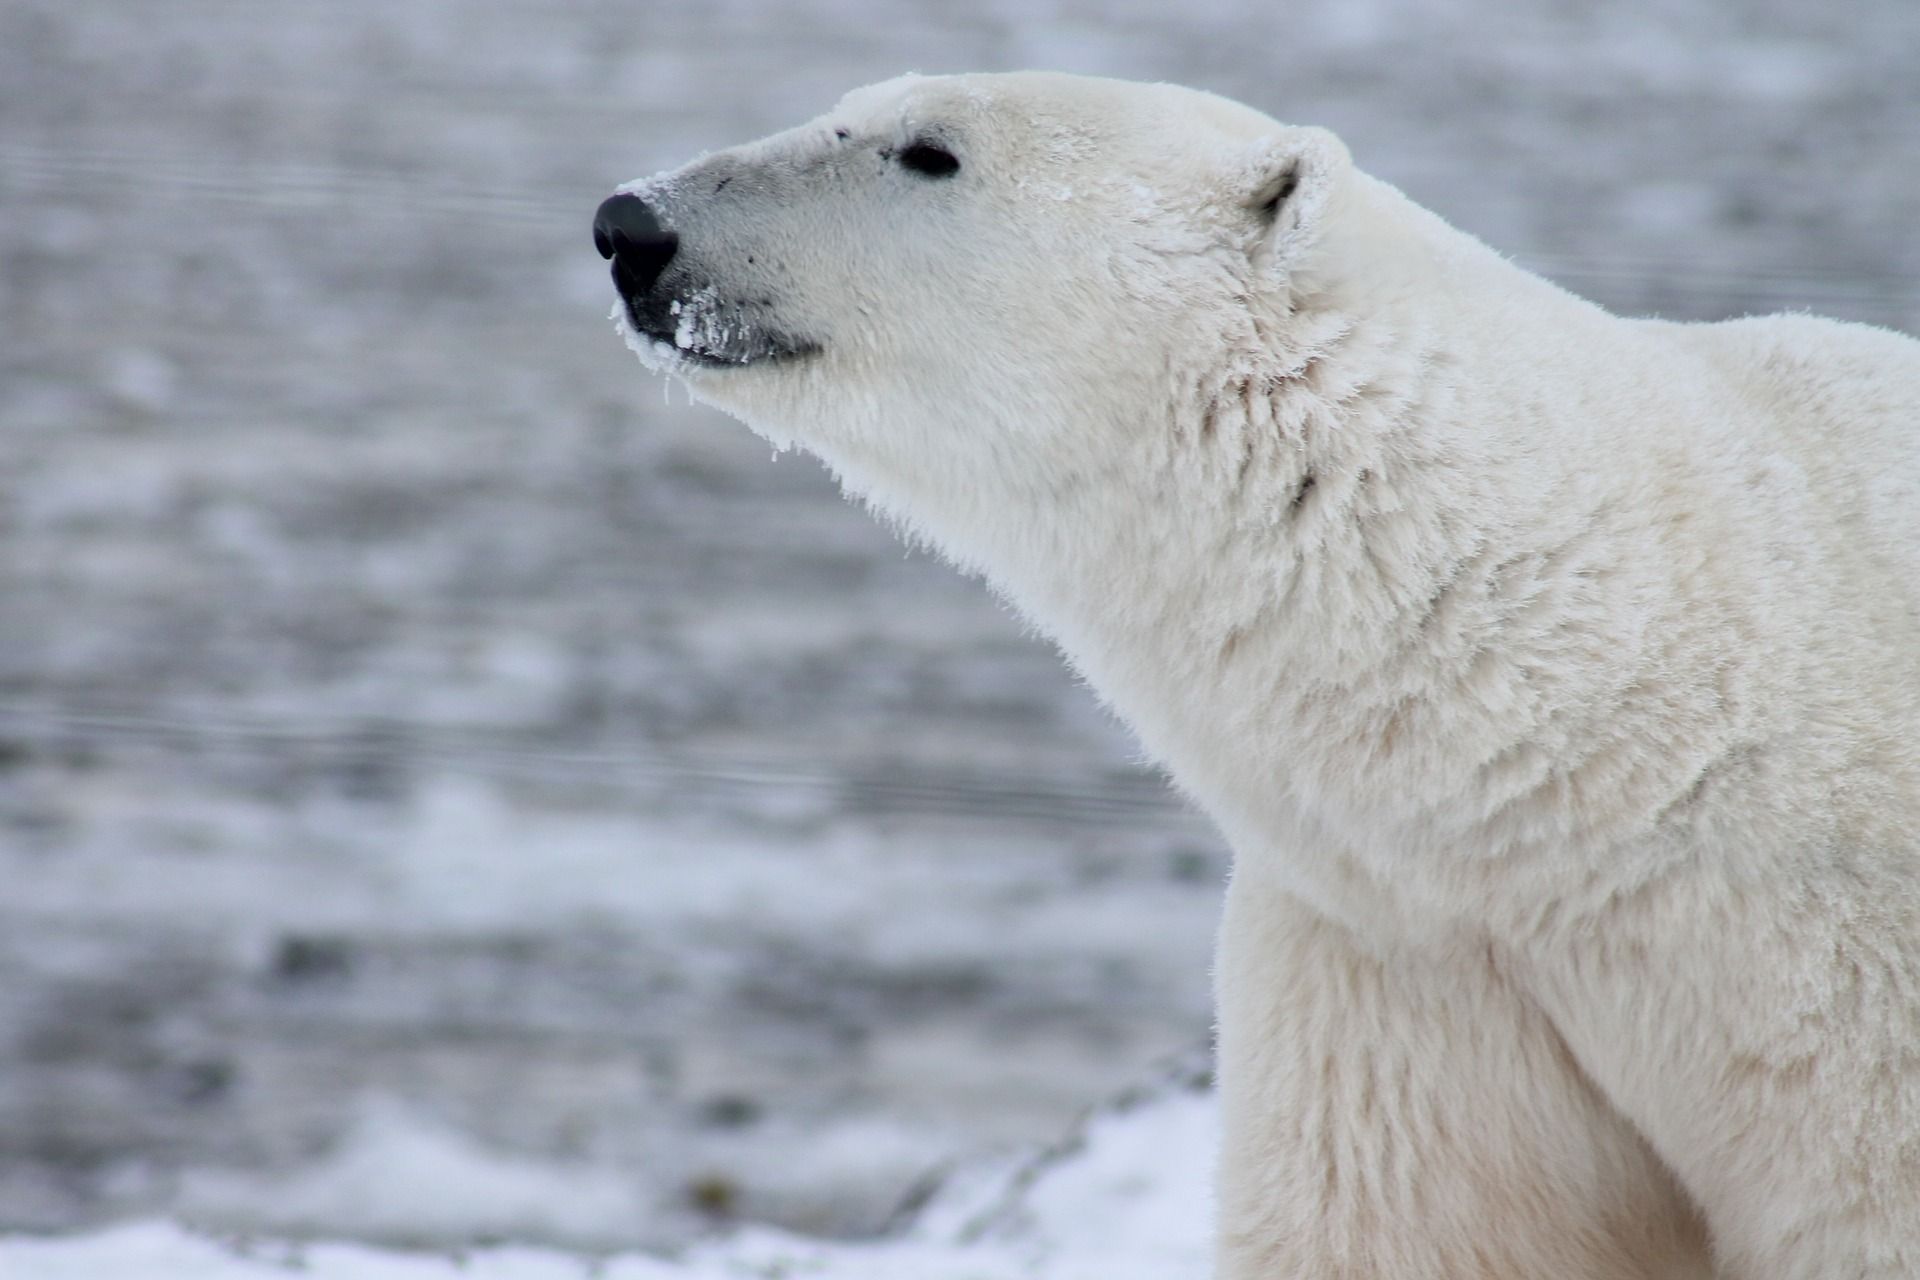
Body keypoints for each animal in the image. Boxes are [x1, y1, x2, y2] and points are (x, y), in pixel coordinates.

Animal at [591, 72, 1912, 1280]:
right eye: (848, 105)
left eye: (928, 151)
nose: (629, 225)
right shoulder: (1413, 965)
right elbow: (1406, 1227)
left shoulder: (1852, 997)